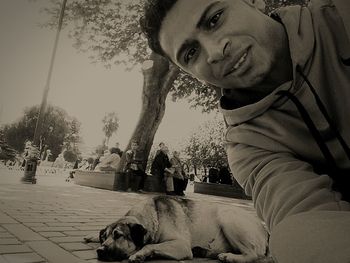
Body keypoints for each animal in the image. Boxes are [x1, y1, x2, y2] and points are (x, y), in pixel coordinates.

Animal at [84, 197, 270, 262]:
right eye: (105, 237)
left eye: (119, 236)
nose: (100, 251)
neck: (154, 216)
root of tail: (264, 228)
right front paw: (92, 236)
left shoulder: (181, 246)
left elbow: (149, 245)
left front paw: (140, 254)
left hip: (228, 217)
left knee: (253, 254)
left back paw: (230, 257)